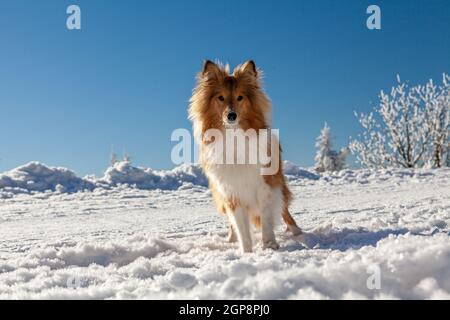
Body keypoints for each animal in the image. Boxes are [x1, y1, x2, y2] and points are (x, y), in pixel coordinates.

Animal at [188, 58, 300, 251]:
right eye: (221, 97)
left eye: (240, 97)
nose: (231, 116)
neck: (234, 137)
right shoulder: (232, 193)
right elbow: (241, 228)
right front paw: (247, 252)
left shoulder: (265, 186)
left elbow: (267, 221)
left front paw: (270, 245)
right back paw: (230, 238)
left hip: (279, 185)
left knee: (285, 211)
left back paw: (299, 232)